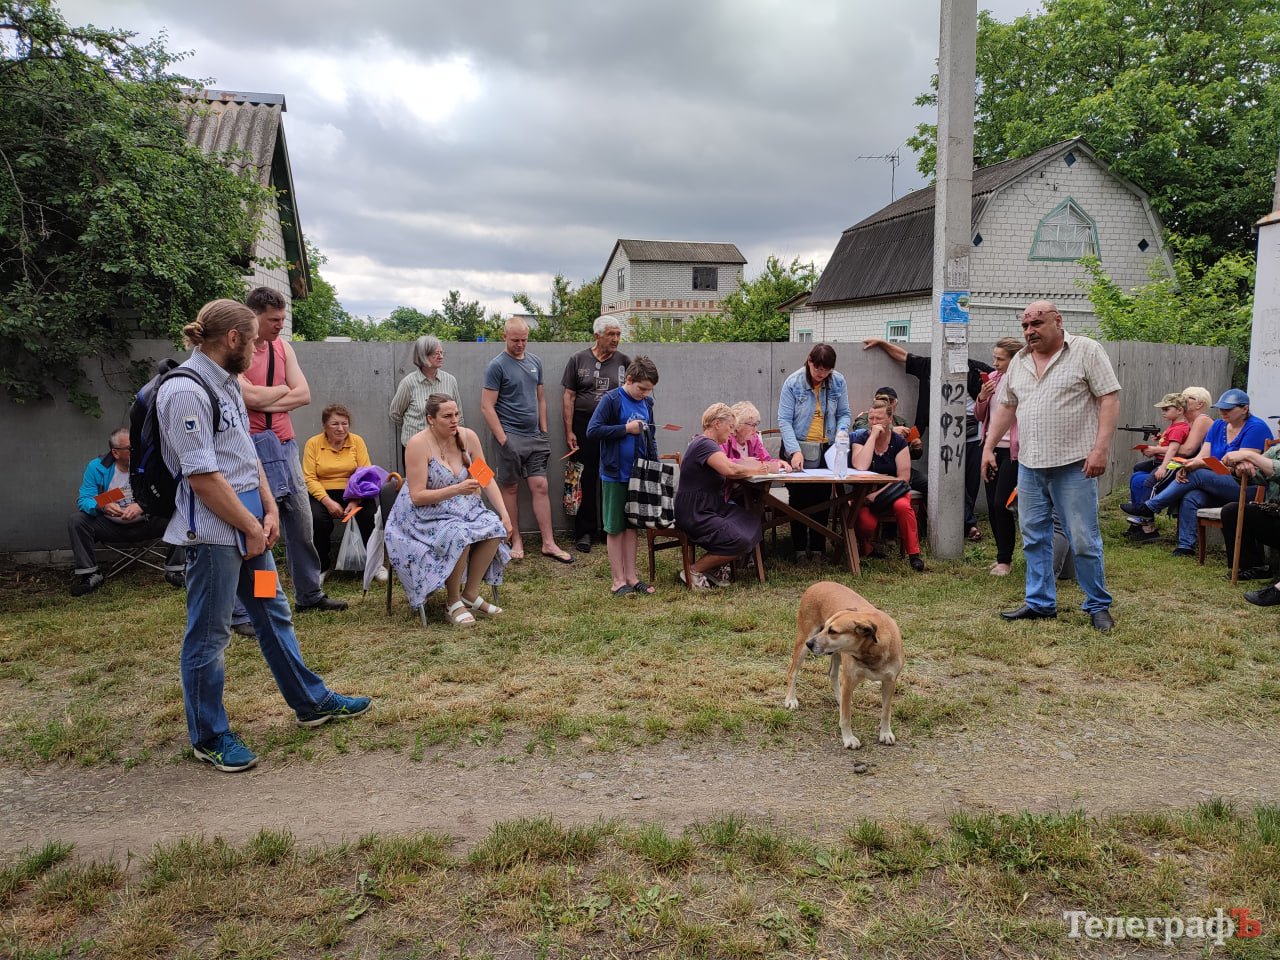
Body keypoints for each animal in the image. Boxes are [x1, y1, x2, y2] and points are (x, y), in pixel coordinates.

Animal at [782, 580, 904, 749]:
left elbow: (886, 711)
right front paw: (848, 738)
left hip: (835, 652)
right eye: (826, 627)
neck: (872, 651)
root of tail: (818, 583)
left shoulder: (889, 682)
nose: (810, 644)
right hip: (803, 640)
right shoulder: (849, 679)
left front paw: (885, 733)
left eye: (832, 631)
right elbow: (846, 717)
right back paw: (790, 700)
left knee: (833, 673)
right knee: (792, 671)